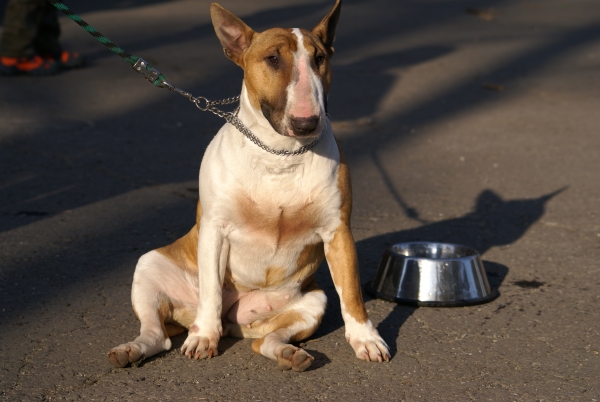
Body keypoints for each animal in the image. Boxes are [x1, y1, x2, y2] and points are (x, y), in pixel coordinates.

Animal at [107, 0, 390, 372]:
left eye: (319, 58)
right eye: (272, 59)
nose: (307, 123)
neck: (281, 154)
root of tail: (234, 321)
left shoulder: (338, 232)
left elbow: (353, 294)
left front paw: (366, 339)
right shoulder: (215, 228)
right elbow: (211, 291)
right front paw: (203, 338)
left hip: (312, 301)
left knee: (265, 341)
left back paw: (289, 354)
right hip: (150, 266)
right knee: (159, 333)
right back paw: (139, 347)